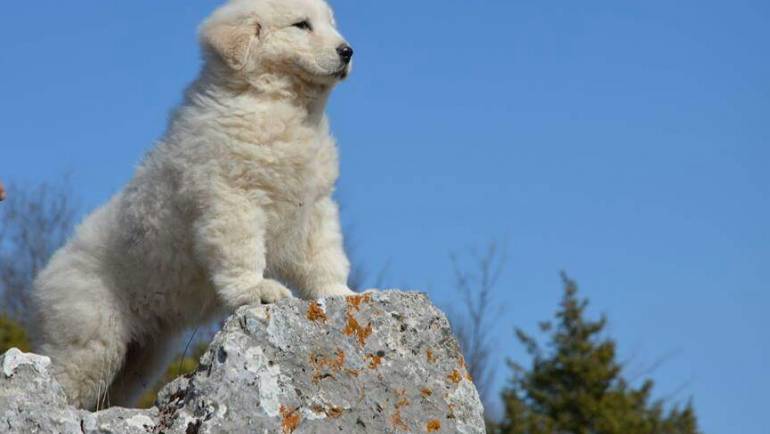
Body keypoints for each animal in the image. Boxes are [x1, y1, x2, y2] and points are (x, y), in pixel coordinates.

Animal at [28, 0, 356, 408]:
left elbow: (325, 256)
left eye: (331, 24)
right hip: (89, 342)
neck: (278, 105)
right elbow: (243, 253)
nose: (348, 51)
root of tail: (45, 278)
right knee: (66, 383)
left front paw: (342, 294)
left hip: (141, 358)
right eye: (301, 25)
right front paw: (256, 289)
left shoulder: (314, 206)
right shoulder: (232, 198)